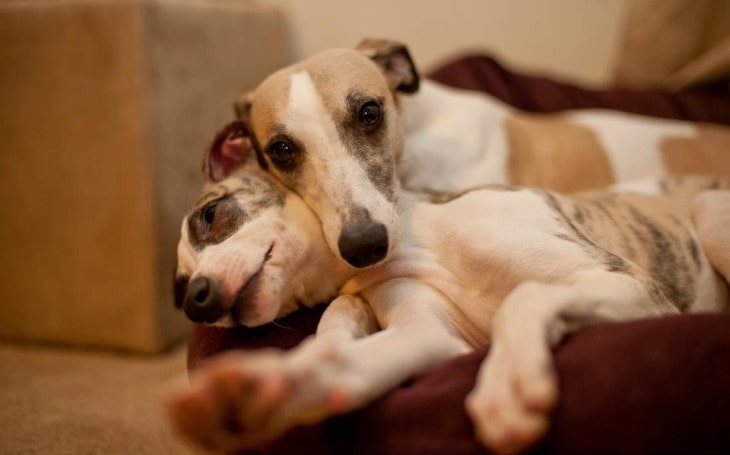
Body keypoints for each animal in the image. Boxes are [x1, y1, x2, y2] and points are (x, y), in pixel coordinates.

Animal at [169, 122, 728, 455]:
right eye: (178, 289)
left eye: (209, 216)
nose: (197, 300)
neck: (413, 241)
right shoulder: (432, 334)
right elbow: (344, 356)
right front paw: (258, 392)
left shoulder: (630, 283)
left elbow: (524, 297)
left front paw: (509, 384)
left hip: (708, 213)